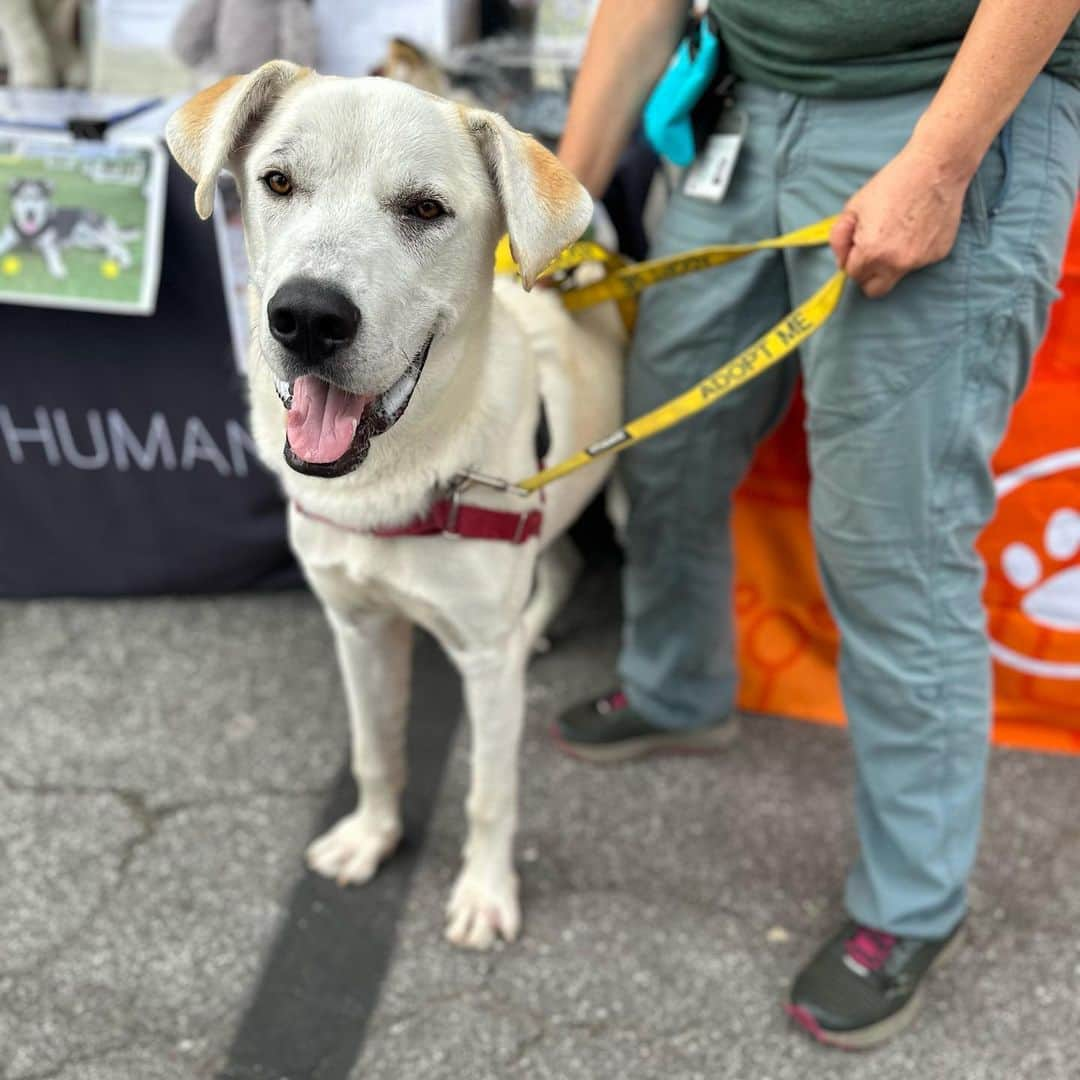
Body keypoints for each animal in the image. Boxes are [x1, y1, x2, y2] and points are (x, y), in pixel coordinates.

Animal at [0, 177, 141, 278]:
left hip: (90, 232)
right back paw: (111, 255)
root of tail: (100, 214)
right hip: (88, 242)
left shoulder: (50, 245)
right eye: (22, 197)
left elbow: (54, 257)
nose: (30, 213)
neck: (29, 233)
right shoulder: (7, 239)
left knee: (118, 244)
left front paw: (57, 269)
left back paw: (126, 261)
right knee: (110, 245)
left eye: (38, 198)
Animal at [168, 63, 626, 950]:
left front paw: (485, 893)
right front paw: (371, 839)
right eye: (278, 182)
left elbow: (489, 792)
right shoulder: (359, 625)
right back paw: (536, 627)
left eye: (425, 209)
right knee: (559, 559)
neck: (392, 482)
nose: (307, 317)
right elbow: (375, 748)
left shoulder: (480, 657)